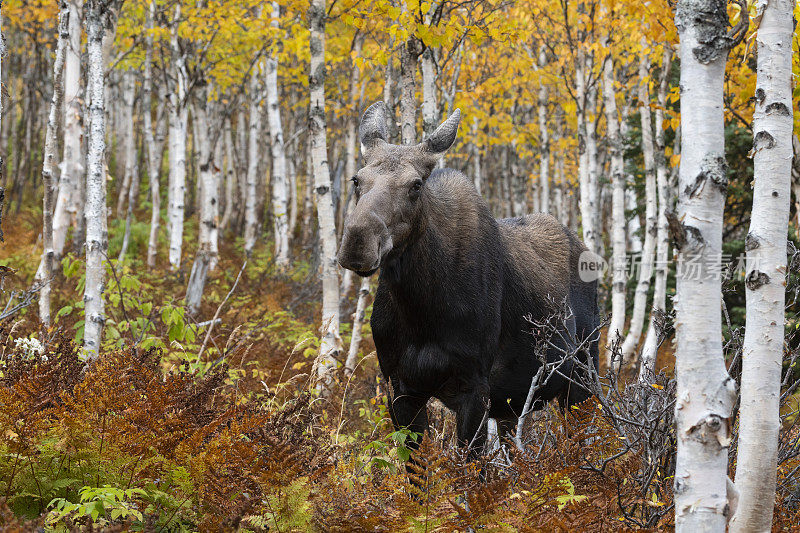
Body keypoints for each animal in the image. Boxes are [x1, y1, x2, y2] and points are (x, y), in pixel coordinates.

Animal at [340, 101, 600, 458]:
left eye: (416, 184)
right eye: (356, 179)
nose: (357, 241)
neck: (420, 309)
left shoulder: (474, 388)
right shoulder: (400, 387)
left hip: (584, 377)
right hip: (512, 405)